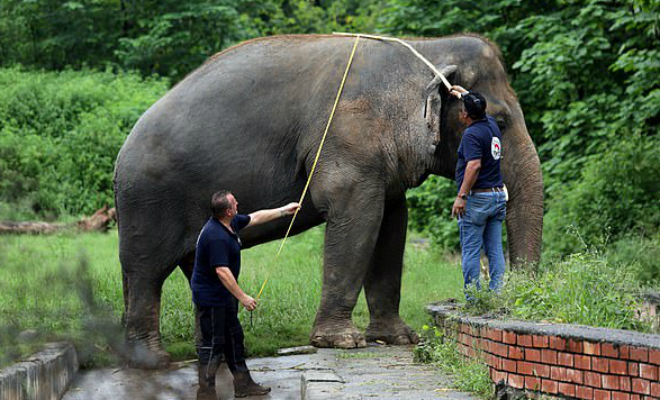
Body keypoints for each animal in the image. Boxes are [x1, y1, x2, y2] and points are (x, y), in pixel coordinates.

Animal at [116, 32, 544, 368]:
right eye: (500, 122)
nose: (516, 297)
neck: (425, 48)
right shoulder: (348, 141)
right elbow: (359, 218)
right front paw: (343, 342)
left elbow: (392, 226)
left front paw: (398, 338)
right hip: (147, 202)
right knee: (146, 272)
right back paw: (153, 361)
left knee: (194, 273)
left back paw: (209, 353)